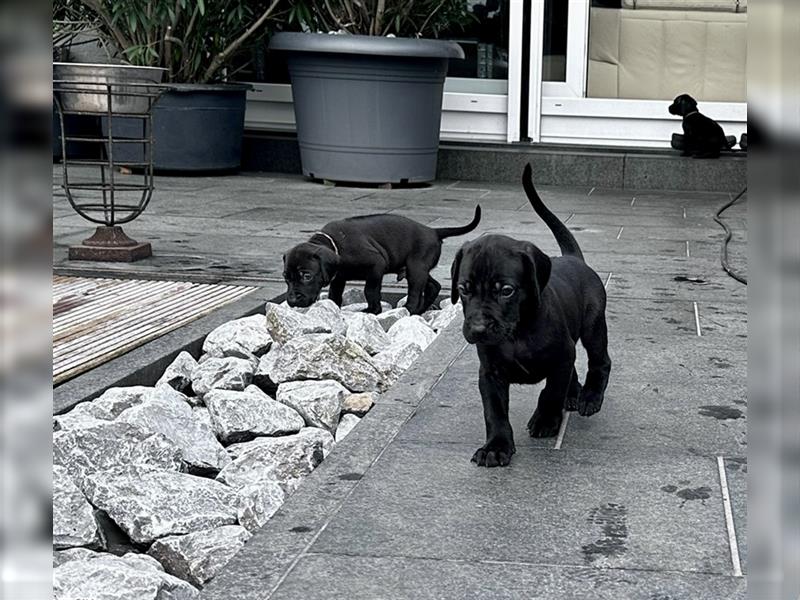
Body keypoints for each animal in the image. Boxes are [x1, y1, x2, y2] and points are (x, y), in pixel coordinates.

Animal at [282, 207, 478, 314]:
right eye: (286, 278)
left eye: (306, 276)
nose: (291, 299)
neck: (335, 243)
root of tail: (433, 231)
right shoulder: (338, 277)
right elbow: (334, 293)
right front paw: (333, 308)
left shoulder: (376, 265)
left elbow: (370, 290)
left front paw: (373, 311)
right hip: (416, 268)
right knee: (433, 286)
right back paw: (420, 311)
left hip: (416, 267)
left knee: (416, 292)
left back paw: (409, 310)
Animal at [450, 165, 612, 468]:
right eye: (463, 289)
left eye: (506, 290)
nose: (477, 329)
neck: (518, 333)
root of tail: (574, 258)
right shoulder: (490, 373)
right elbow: (495, 412)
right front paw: (496, 447)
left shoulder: (560, 356)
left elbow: (551, 391)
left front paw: (545, 420)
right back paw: (574, 394)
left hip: (594, 327)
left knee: (601, 361)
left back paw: (589, 397)